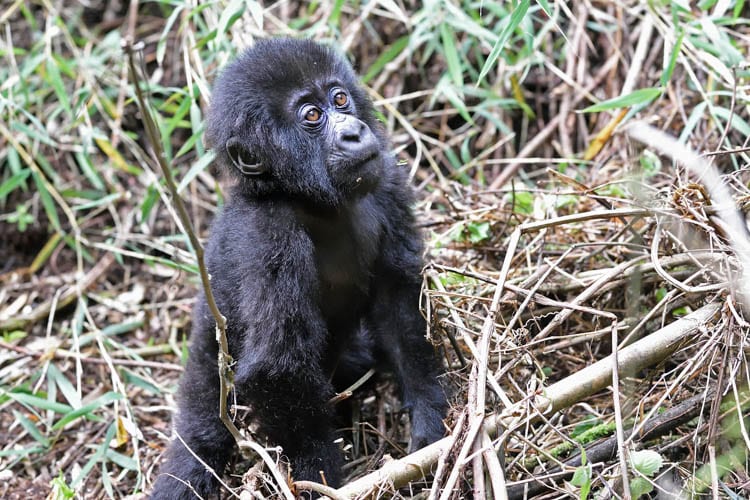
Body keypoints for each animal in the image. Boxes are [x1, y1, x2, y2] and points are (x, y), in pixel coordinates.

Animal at [152, 37, 446, 498]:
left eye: (340, 98)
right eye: (312, 116)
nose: (354, 131)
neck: (303, 197)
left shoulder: (386, 185)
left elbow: (399, 306)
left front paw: (430, 423)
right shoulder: (268, 235)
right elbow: (276, 368)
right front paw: (319, 476)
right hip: (208, 383)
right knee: (199, 443)